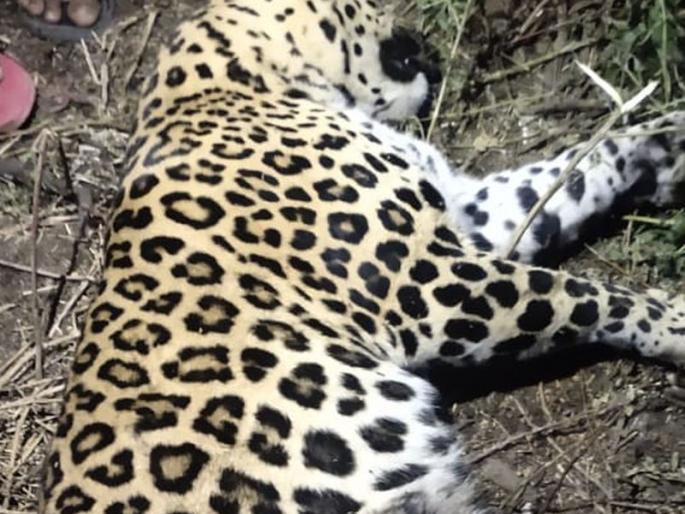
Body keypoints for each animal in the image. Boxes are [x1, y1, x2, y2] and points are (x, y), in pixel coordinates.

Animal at [39, 0, 685, 513]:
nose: (419, 34)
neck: (229, 86)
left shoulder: (466, 220)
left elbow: (570, 173)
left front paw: (663, 137)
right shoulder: (426, 284)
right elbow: (576, 293)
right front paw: (673, 322)